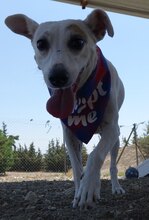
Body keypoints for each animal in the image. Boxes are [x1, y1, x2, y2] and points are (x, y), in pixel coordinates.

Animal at [5, 9, 125, 209]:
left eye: (78, 42)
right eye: (41, 44)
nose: (57, 77)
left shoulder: (111, 129)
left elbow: (95, 156)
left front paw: (87, 189)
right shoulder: (69, 134)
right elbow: (77, 169)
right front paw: (80, 192)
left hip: (115, 140)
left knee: (112, 165)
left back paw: (114, 187)